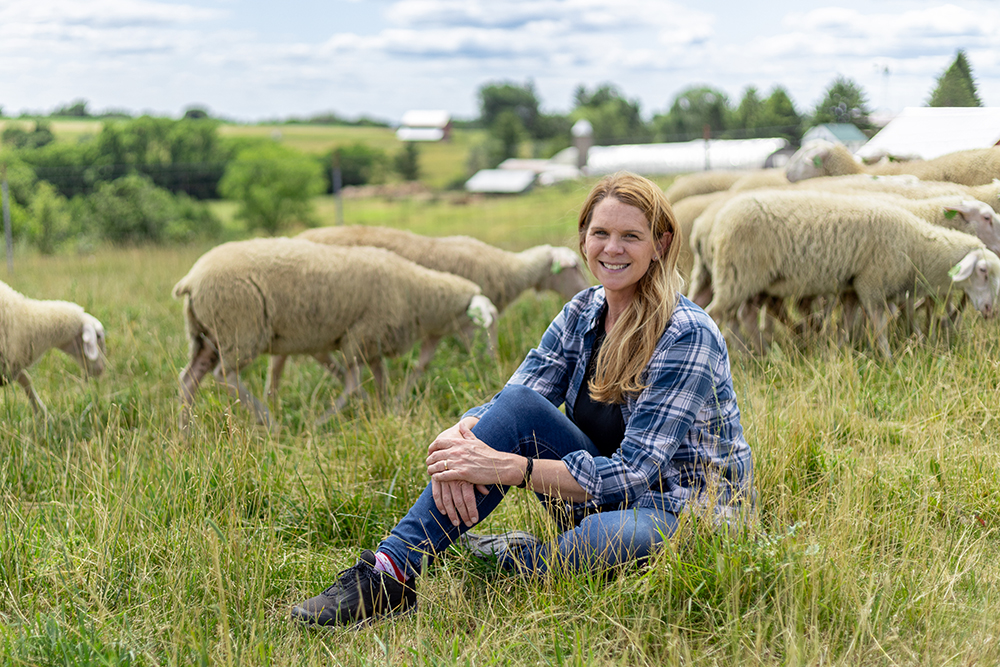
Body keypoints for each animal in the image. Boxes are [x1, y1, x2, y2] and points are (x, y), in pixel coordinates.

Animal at [0, 278, 107, 414]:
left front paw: (43, 414)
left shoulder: (9, 362)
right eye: (98, 336)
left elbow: (26, 380)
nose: (101, 369)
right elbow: (25, 380)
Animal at [175, 239, 500, 428]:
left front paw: (382, 410)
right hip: (239, 328)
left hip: (207, 336)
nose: (491, 360)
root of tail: (191, 279)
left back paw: (185, 434)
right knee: (224, 376)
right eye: (483, 323)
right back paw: (269, 422)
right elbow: (353, 383)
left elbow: (377, 378)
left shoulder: (370, 343)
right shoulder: (359, 336)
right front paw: (323, 421)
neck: (417, 294)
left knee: (190, 378)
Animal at [704, 190, 1000, 358]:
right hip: (737, 276)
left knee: (743, 315)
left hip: (758, 283)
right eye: (982, 271)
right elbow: (881, 322)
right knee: (718, 314)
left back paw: (760, 354)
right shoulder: (871, 282)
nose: (990, 310)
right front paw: (889, 357)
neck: (916, 243)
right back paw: (745, 355)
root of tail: (719, 221)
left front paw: (839, 351)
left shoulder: (852, 286)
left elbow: (848, 322)